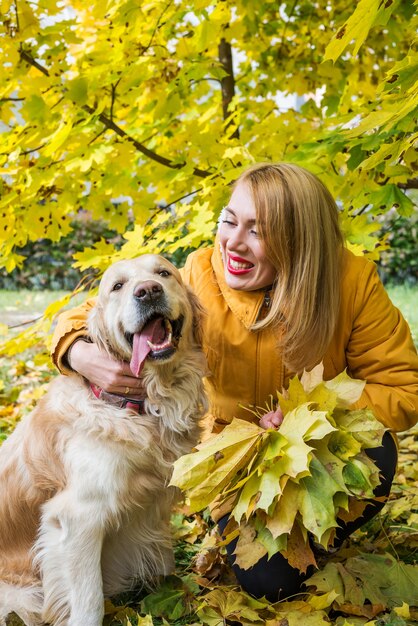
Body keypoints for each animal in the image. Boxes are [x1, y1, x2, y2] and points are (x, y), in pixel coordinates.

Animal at [0, 254, 208, 624]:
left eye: (164, 273)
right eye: (117, 286)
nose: (148, 291)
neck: (143, 405)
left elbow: (163, 560)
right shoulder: (78, 518)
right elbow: (89, 600)